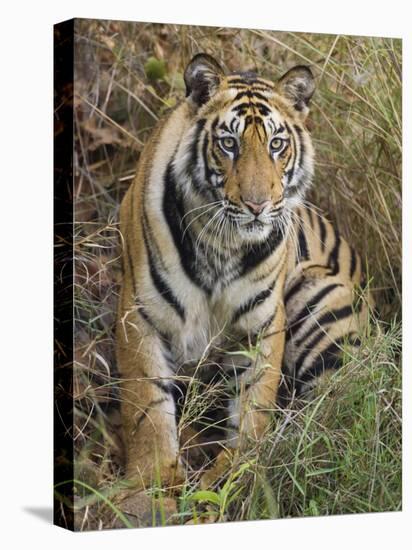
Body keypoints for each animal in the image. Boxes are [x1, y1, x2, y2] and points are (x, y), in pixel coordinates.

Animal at [114, 52, 372, 508]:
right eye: (229, 144)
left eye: (276, 145)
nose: (257, 205)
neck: (221, 243)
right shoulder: (139, 315)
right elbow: (146, 408)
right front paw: (150, 487)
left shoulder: (263, 324)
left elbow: (254, 406)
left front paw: (238, 474)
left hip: (320, 299)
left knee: (335, 412)